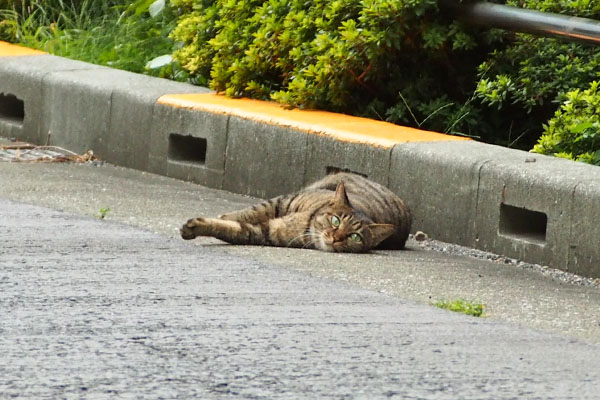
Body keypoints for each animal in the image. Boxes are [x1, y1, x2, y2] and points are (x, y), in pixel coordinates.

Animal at [179, 172, 412, 253]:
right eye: (335, 221)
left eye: (355, 237)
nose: (336, 238)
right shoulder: (279, 207)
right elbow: (244, 215)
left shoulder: (265, 233)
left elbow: (234, 229)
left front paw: (197, 226)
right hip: (288, 198)